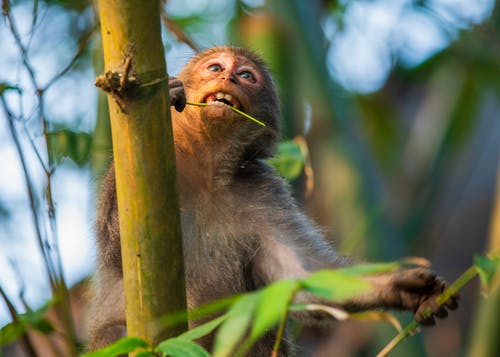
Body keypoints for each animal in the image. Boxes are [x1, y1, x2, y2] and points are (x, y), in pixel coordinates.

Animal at [88, 46, 458, 354]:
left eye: (246, 76)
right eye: (215, 67)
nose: (228, 77)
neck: (207, 168)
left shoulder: (264, 191)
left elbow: (301, 275)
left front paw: (397, 287)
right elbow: (119, 249)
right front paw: (166, 94)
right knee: (120, 336)